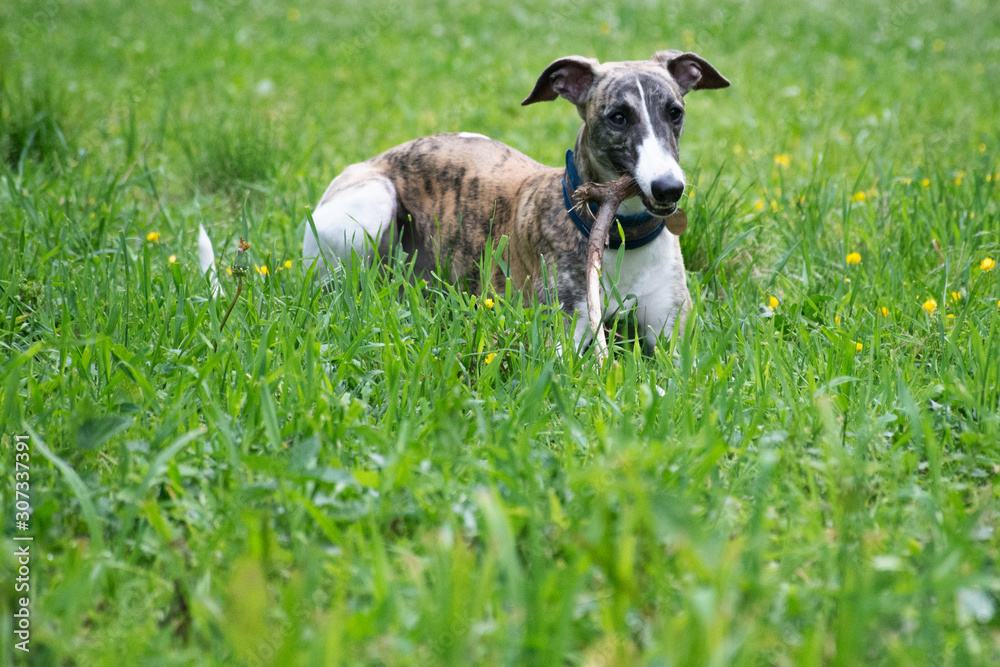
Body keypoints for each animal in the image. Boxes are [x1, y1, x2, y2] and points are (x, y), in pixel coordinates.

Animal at [300, 50, 732, 352]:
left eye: (675, 112)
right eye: (618, 117)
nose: (669, 188)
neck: (620, 236)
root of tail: (368, 160)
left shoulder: (674, 335)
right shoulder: (564, 335)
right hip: (374, 200)